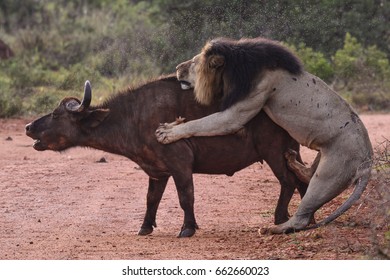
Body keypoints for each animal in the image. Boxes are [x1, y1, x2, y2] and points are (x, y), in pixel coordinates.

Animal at [25, 75, 308, 237]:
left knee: (288, 182)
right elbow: (151, 199)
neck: (133, 119)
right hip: (291, 150)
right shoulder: (156, 171)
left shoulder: (180, 165)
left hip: (273, 151)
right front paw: (145, 227)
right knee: (304, 181)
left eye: (56, 115)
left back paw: (281, 219)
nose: (28, 127)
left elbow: (185, 197)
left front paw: (187, 228)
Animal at [155, 37, 372, 234]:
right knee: (308, 174)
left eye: (194, 62)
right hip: (324, 154)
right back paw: (292, 160)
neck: (235, 67)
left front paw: (167, 132)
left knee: (302, 216)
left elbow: (201, 123)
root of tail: (368, 160)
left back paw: (273, 228)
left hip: (329, 174)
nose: (177, 67)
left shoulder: (239, 110)